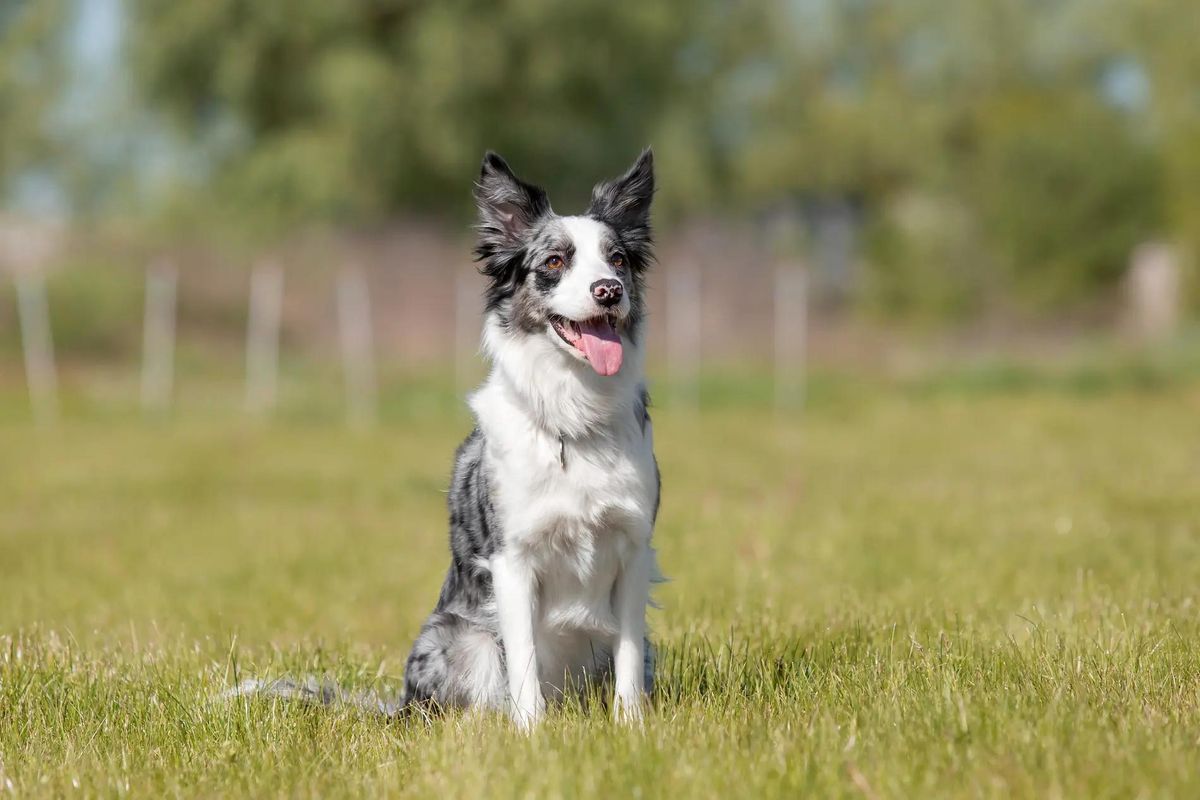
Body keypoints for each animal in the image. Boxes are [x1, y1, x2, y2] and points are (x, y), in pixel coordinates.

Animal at [231, 146, 667, 729]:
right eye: (554, 262)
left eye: (617, 260)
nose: (609, 291)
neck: (573, 416)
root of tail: (399, 704)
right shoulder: (512, 561)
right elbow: (523, 661)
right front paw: (533, 733)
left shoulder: (633, 551)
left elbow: (626, 657)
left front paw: (631, 726)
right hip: (457, 639)